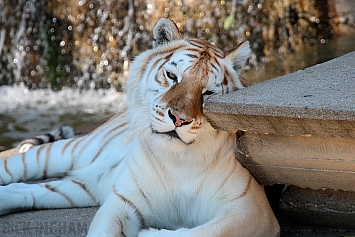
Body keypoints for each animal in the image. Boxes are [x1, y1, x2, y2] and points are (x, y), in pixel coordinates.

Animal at [0, 17, 280, 236]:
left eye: (208, 93)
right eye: (172, 76)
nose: (179, 119)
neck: (180, 160)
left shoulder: (249, 209)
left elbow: (202, 232)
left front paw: (151, 233)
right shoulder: (122, 202)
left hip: (84, 187)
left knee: (25, 190)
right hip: (70, 152)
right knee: (15, 165)